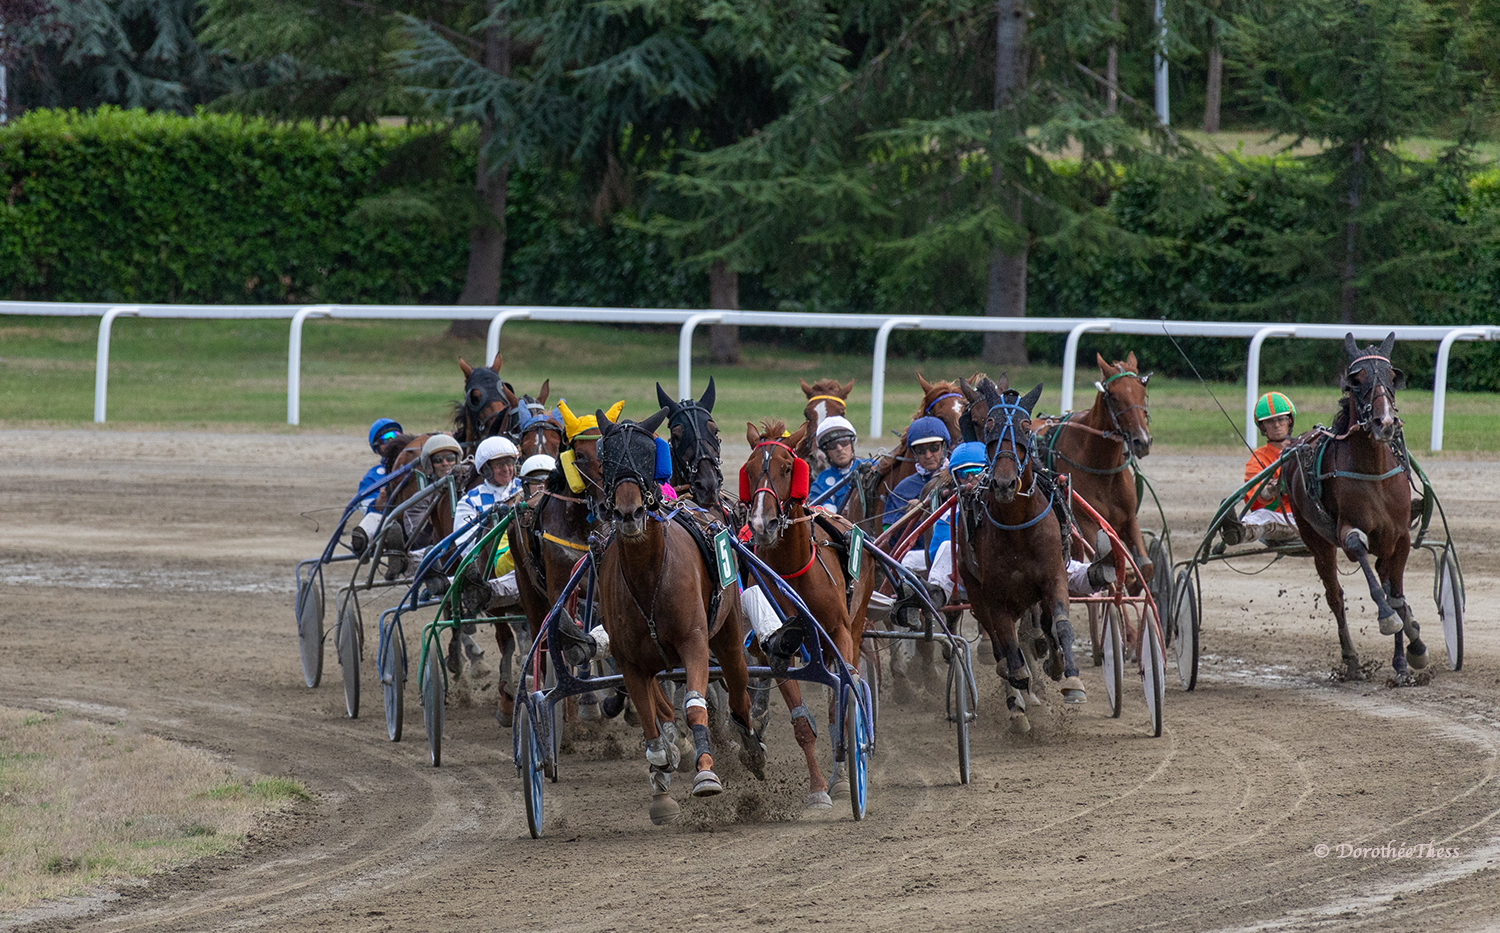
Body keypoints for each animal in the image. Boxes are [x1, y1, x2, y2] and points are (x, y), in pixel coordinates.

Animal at [594, 408, 762, 828]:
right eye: (608, 459)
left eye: (646, 456)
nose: (629, 512)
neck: (649, 575)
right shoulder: (630, 663)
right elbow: (652, 732)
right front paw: (662, 784)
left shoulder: (694, 642)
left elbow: (695, 704)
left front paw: (706, 774)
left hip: (729, 636)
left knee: (739, 691)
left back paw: (751, 746)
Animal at [954, 376, 1086, 735]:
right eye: (988, 424)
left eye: (1026, 428)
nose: (1003, 482)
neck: (1016, 525)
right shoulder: (994, 596)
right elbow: (1010, 652)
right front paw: (1019, 697)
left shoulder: (1053, 577)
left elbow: (1060, 624)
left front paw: (1071, 679)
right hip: (976, 591)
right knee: (1003, 648)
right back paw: (1017, 702)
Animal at [1038, 351, 1152, 585]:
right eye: (1114, 396)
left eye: (1142, 392)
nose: (1142, 441)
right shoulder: (1087, 523)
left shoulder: (1128, 520)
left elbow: (1145, 568)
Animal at [1278, 334, 1428, 681]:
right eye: (1356, 381)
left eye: (1392, 378)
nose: (1385, 422)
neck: (1374, 473)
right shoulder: (1347, 529)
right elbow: (1359, 548)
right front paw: (1387, 619)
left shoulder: (1399, 537)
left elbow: (1396, 596)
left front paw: (1407, 657)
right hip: (1316, 540)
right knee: (1335, 596)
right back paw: (1351, 659)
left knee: (1387, 583)